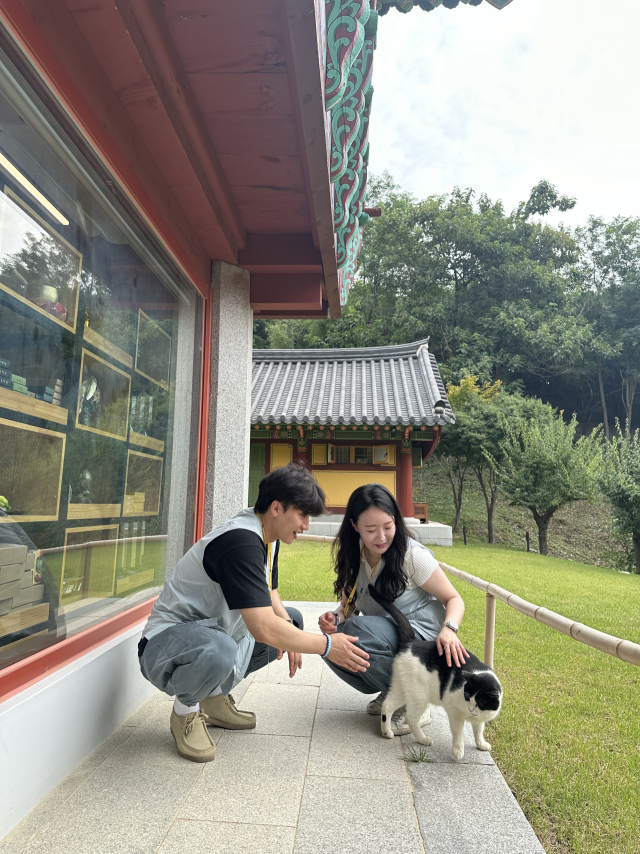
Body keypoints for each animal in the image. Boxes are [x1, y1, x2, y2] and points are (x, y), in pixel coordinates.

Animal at [368, 584, 502, 760]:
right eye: (467, 697)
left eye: (480, 702)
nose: (471, 710)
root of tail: (412, 641)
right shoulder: (454, 712)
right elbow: (458, 733)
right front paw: (458, 751)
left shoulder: (479, 719)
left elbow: (478, 731)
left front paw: (481, 744)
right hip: (419, 696)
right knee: (411, 718)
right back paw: (423, 739)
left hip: (402, 687)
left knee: (388, 705)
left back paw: (387, 732)